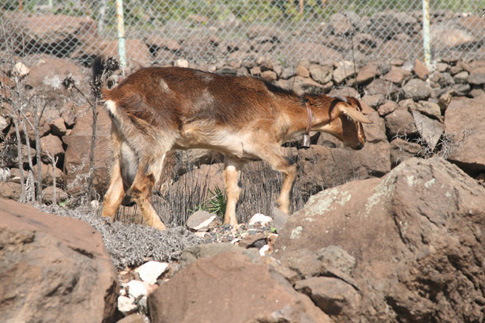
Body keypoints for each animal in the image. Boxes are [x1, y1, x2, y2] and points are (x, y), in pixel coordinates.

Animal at [94, 61, 370, 230]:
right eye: (352, 119)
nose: (362, 142)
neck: (281, 107)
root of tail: (115, 94)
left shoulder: (234, 155)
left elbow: (233, 190)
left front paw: (232, 223)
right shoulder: (261, 143)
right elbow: (290, 166)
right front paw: (283, 208)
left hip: (124, 146)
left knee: (113, 194)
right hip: (154, 144)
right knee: (139, 188)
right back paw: (161, 228)